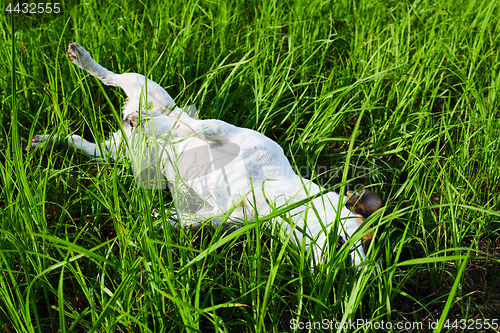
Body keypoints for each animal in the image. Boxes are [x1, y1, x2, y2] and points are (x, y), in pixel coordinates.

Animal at [31, 42, 382, 266]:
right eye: (343, 242)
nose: (335, 272)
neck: (268, 193)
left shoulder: (219, 215)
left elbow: (185, 221)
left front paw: (155, 223)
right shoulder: (227, 133)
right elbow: (194, 128)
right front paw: (155, 125)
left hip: (112, 153)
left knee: (78, 141)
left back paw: (45, 141)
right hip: (144, 86)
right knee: (112, 76)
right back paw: (86, 62)